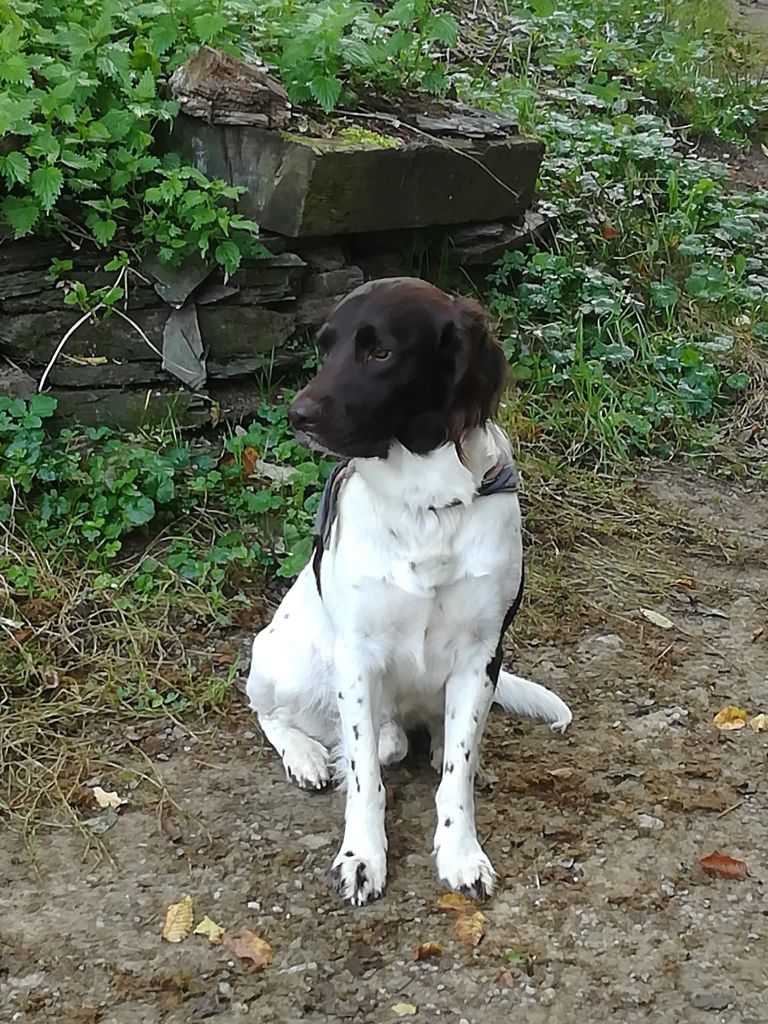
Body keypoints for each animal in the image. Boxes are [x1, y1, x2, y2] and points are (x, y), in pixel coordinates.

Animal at [246, 278, 573, 905]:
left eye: (381, 353)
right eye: (326, 347)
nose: (298, 414)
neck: (427, 503)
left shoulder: (481, 655)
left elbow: (457, 774)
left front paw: (461, 851)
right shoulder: (356, 656)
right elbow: (365, 777)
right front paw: (361, 856)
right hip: (283, 660)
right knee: (274, 715)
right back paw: (307, 755)